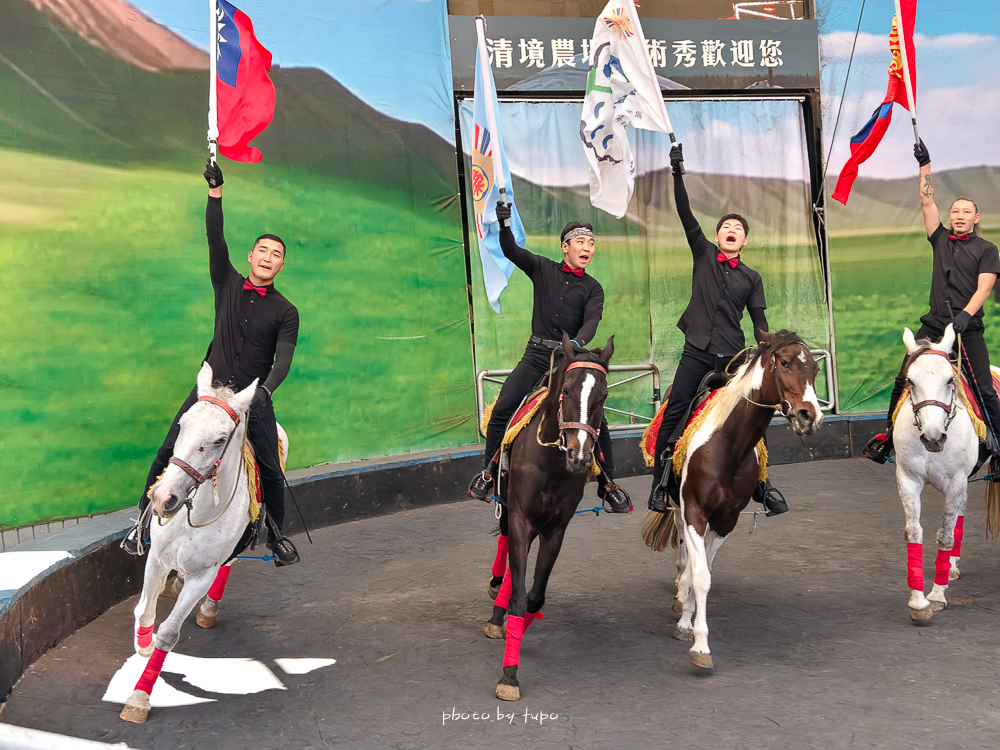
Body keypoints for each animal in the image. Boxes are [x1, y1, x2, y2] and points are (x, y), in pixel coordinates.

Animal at [122, 364, 286, 724]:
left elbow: (169, 633)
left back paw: (208, 609)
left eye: (220, 440)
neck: (194, 514)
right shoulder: (157, 558)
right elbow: (144, 610)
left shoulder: (203, 574)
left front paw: (139, 698)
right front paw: (142, 645)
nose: (163, 498)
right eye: (181, 426)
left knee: (227, 566)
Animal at [486, 332, 616, 704]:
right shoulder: (520, 518)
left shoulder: (556, 529)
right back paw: (496, 604)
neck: (552, 463)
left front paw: (520, 630)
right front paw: (510, 675)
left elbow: (535, 596)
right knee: (506, 546)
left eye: (603, 395)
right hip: (507, 508)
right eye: (568, 390)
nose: (580, 455)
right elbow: (518, 597)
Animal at [640, 332, 820, 672]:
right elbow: (701, 577)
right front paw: (699, 643)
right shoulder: (694, 511)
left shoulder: (727, 520)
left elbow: (706, 570)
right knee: (682, 542)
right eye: (785, 363)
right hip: (676, 505)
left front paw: (688, 618)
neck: (728, 446)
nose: (809, 416)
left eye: (815, 369)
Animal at [896, 326, 972, 624]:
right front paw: (918, 602)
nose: (933, 436)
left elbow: (945, 536)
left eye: (950, 380)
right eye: (910, 381)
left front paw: (938, 595)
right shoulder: (907, 480)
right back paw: (951, 565)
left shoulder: (956, 482)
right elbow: (914, 532)